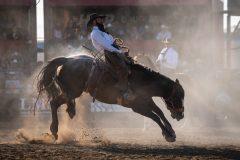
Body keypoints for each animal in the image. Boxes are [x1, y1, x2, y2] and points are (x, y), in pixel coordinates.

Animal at [36, 54, 185, 142]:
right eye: (178, 95)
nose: (181, 115)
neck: (141, 80)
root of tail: (67, 60)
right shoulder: (137, 106)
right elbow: (155, 117)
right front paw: (168, 135)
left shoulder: (147, 100)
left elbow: (159, 112)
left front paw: (171, 131)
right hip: (73, 92)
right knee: (53, 103)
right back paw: (54, 130)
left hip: (71, 92)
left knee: (58, 103)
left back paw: (70, 111)